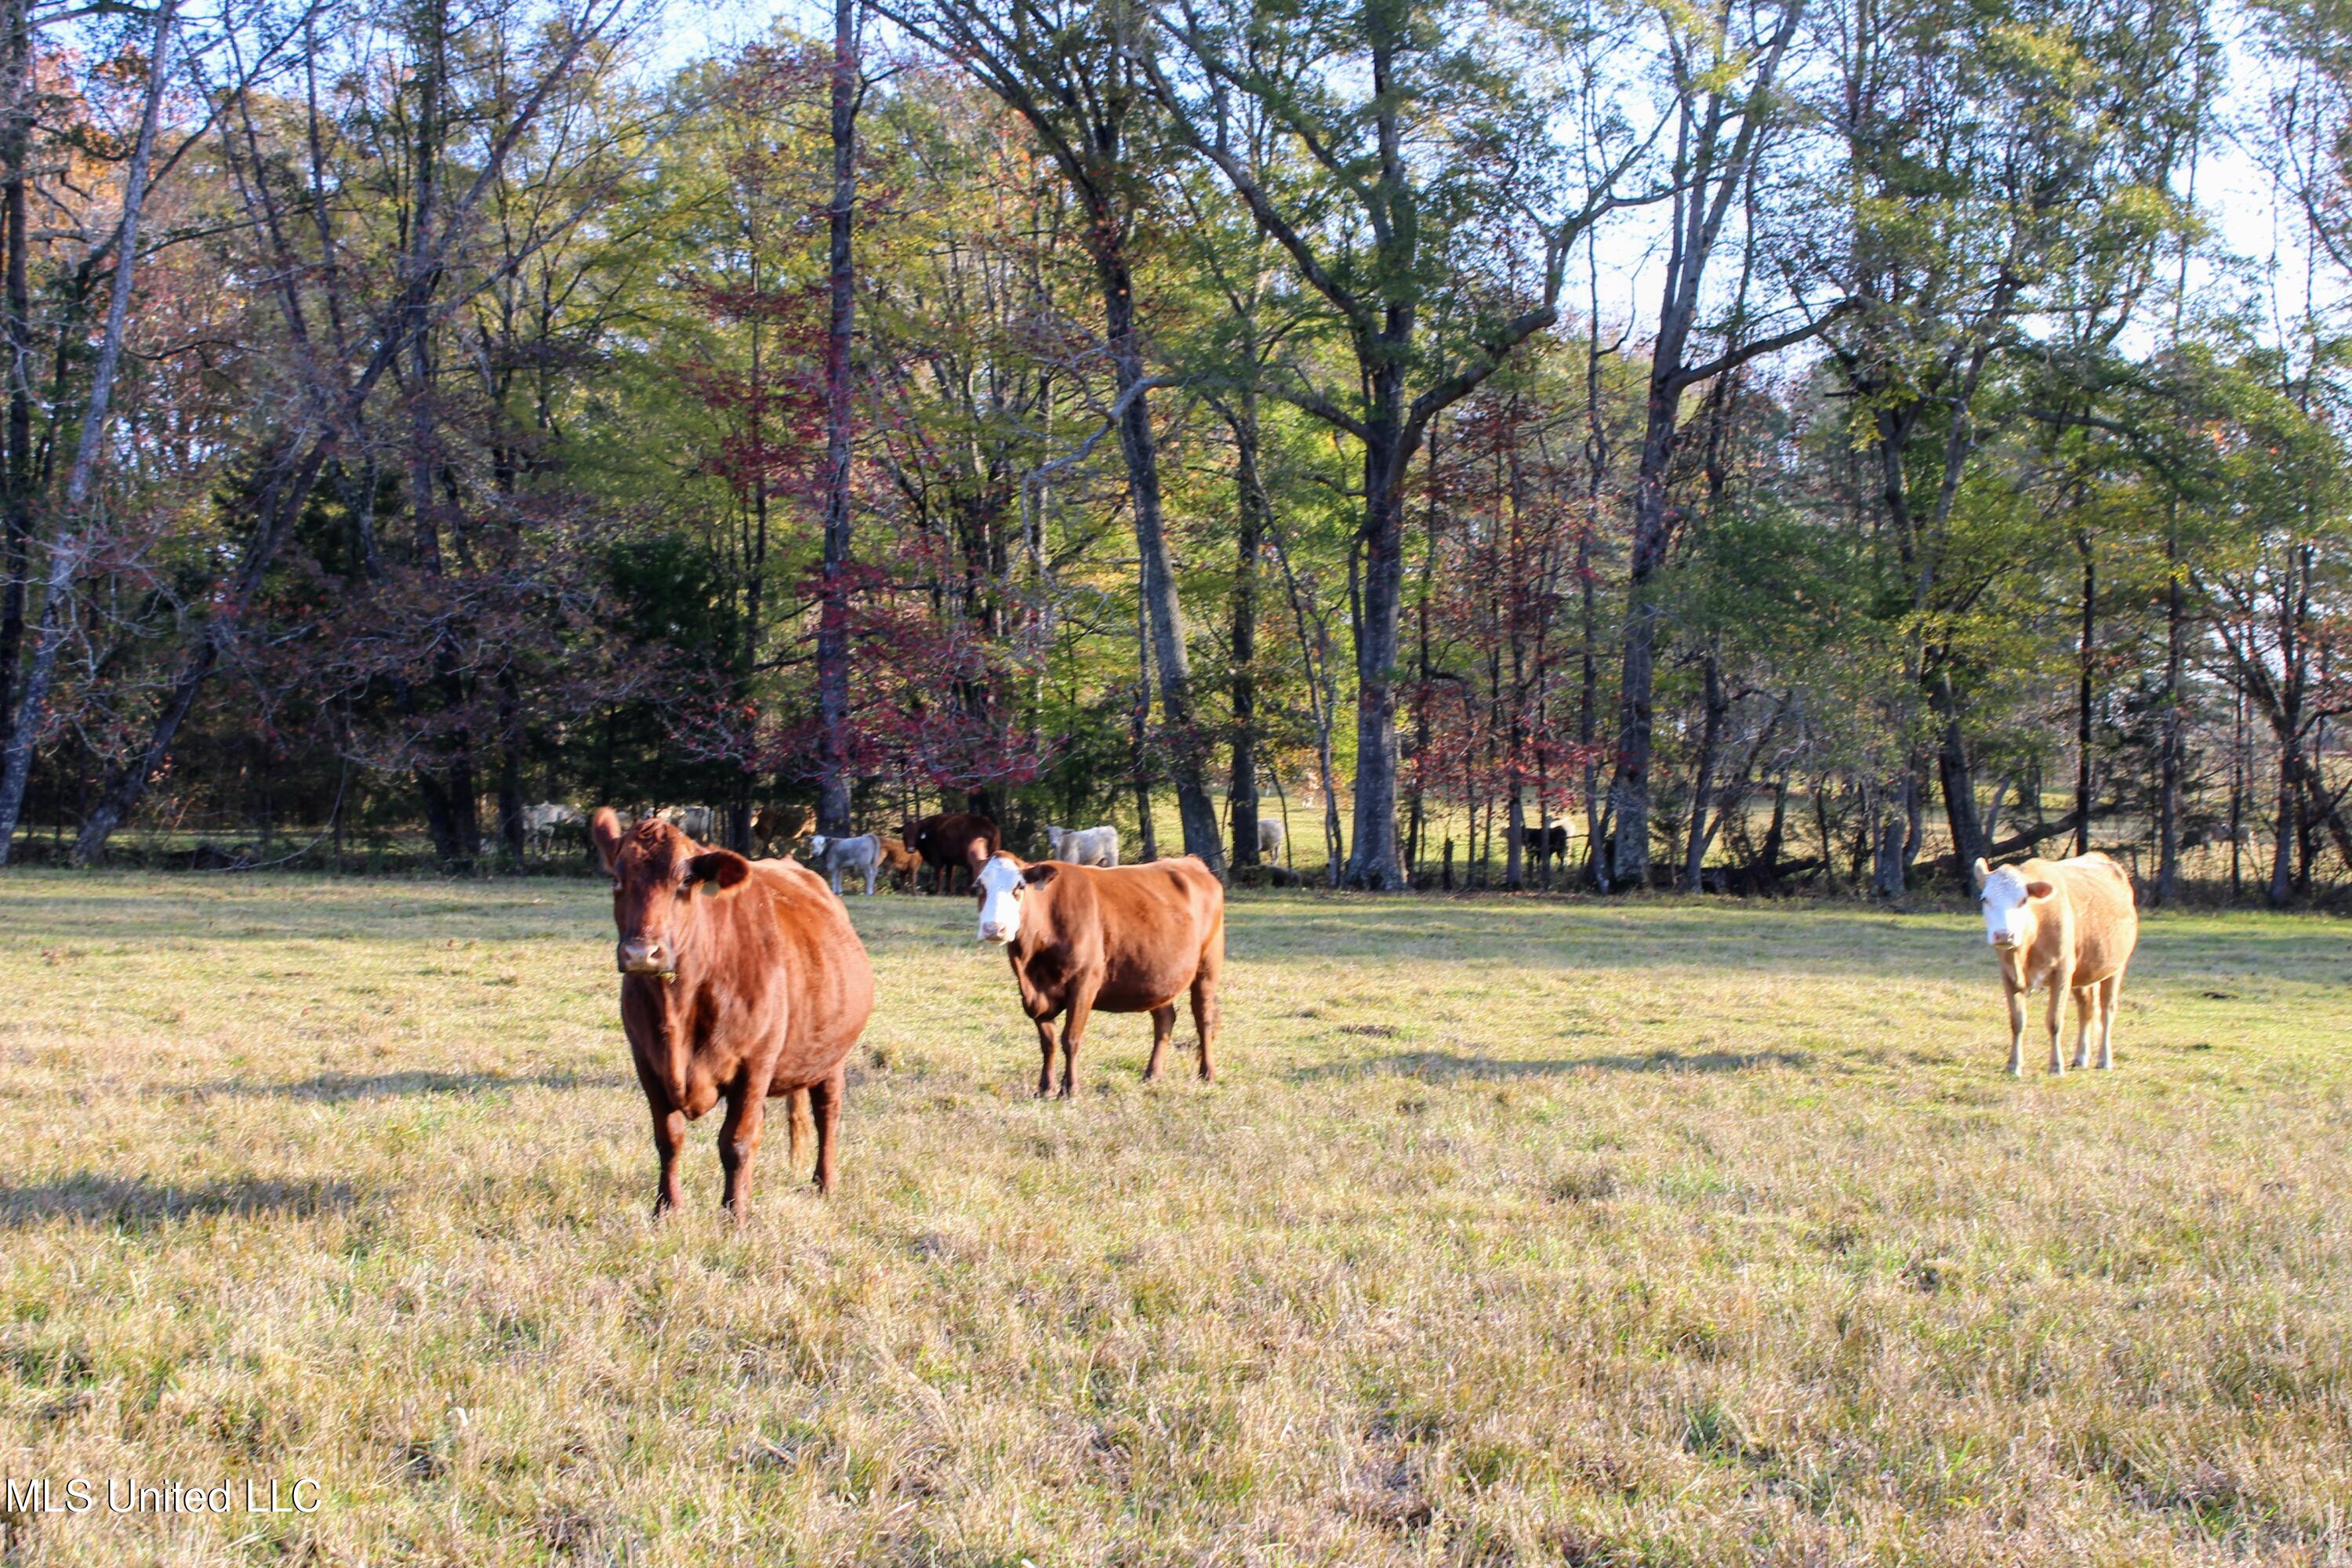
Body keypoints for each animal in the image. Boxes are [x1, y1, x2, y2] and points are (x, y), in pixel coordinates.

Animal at [593, 804, 880, 1222]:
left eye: (686, 880)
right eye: (616, 878)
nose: (642, 953)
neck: (678, 1008)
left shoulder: (754, 1063)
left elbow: (736, 1142)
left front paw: (735, 1215)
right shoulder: (646, 1062)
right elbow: (669, 1137)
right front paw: (666, 1209)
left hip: (831, 1057)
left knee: (827, 1113)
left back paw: (824, 1183)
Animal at [974, 846, 1232, 1105]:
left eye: (1019, 887)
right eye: (978, 887)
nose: (994, 928)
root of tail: (1192, 862)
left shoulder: (1084, 984)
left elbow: (1070, 1039)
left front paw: (1070, 1089)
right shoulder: (1033, 993)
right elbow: (1048, 1042)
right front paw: (1045, 1088)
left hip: (1207, 965)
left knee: (1203, 1018)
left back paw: (1207, 1073)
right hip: (1158, 975)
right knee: (1165, 1019)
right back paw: (1153, 1074)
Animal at [1976, 860, 2145, 1081]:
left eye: (2023, 900)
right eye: (1985, 899)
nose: (2004, 935)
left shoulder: (2062, 971)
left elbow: (2055, 1021)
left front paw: (2056, 1066)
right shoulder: (2008, 974)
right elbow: (2017, 1021)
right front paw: (2014, 1065)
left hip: (2115, 968)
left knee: (2107, 1011)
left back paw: (2104, 1060)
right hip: (2083, 975)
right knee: (2086, 1010)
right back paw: (2081, 1057)